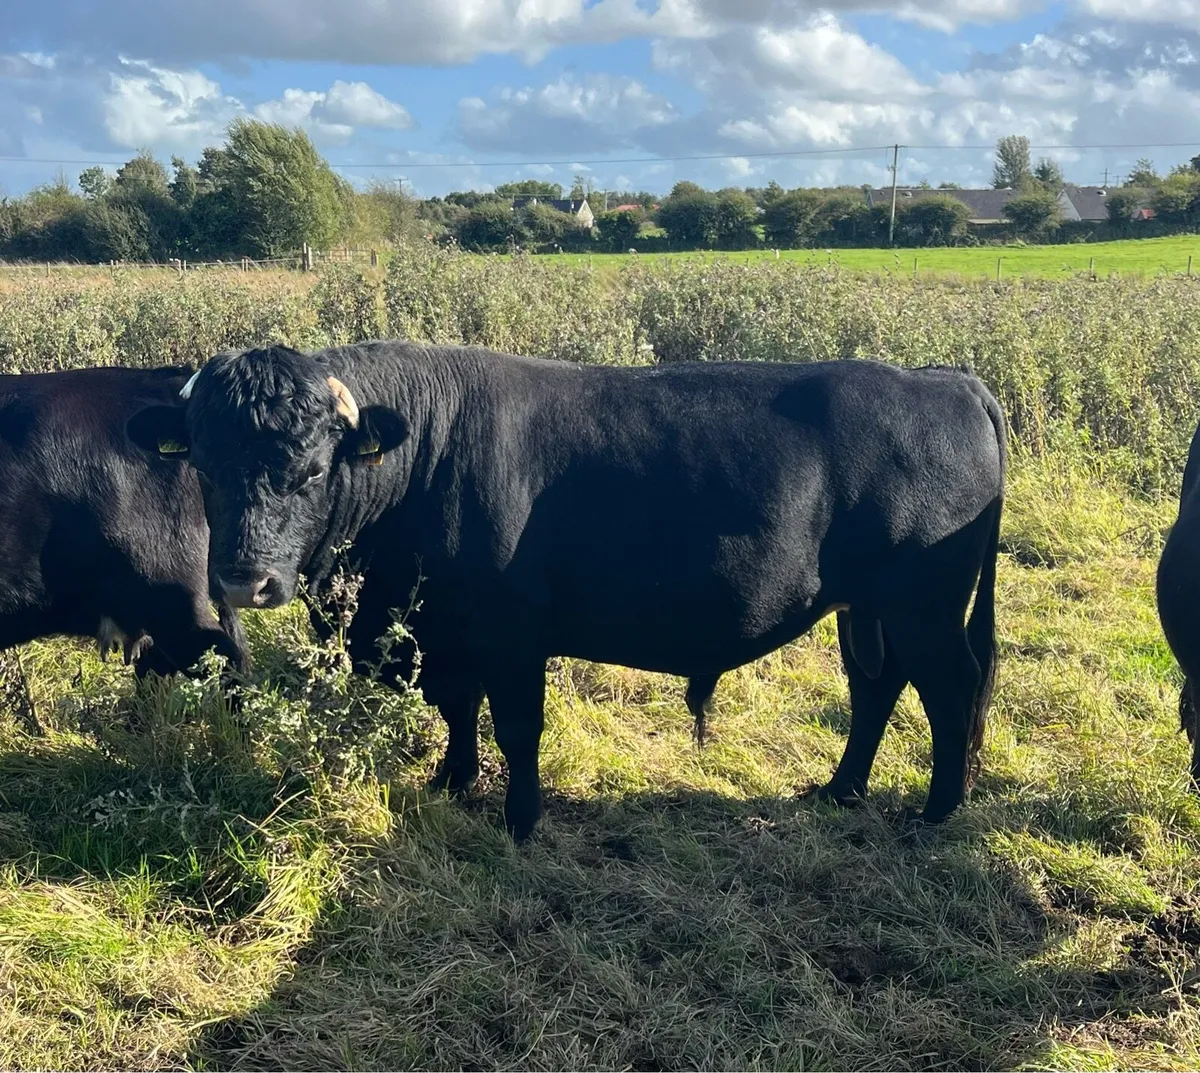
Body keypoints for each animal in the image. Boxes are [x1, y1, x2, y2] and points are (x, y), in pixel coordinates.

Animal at [126, 341, 1006, 841]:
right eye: (201, 463)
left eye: (311, 468)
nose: (244, 579)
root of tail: (948, 380)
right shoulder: (447, 632)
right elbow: (459, 707)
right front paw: (453, 779)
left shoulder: (513, 633)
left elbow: (517, 725)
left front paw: (522, 819)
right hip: (870, 606)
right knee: (875, 685)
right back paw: (841, 789)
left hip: (923, 604)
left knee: (950, 686)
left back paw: (936, 812)